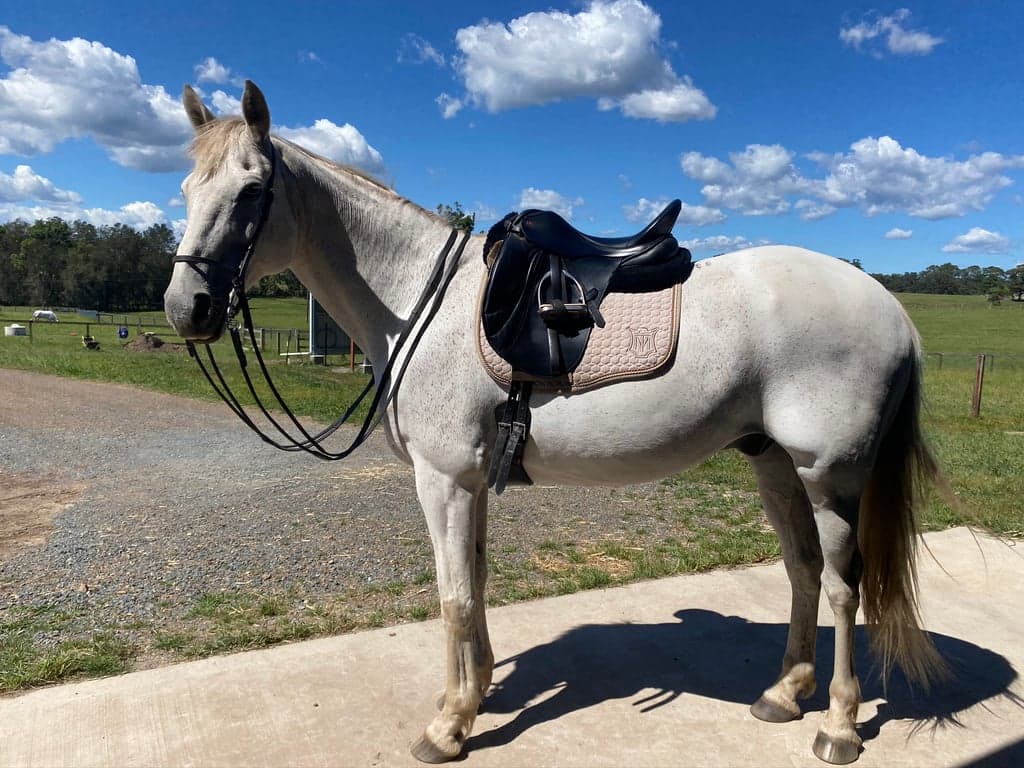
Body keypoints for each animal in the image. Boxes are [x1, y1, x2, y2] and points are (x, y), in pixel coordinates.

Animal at [164, 81, 946, 765]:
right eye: (186, 191)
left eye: (252, 190)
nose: (186, 308)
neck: (421, 303)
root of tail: (888, 304)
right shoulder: (471, 482)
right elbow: (476, 585)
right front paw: (475, 694)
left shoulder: (443, 481)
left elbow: (452, 598)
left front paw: (449, 727)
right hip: (774, 462)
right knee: (803, 570)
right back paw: (785, 693)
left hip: (830, 475)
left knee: (844, 586)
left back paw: (838, 727)